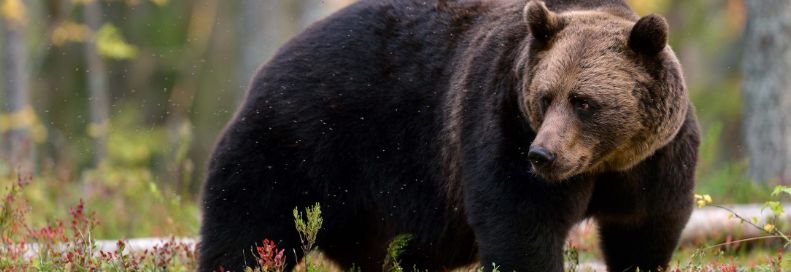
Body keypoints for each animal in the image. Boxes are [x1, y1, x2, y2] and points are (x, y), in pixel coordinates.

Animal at [200, 0, 700, 272]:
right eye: (544, 97)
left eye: (584, 101)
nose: (542, 154)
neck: (604, 162)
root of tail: (268, 67)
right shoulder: (502, 126)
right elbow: (521, 226)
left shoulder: (655, 163)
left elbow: (644, 232)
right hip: (297, 145)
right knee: (247, 228)